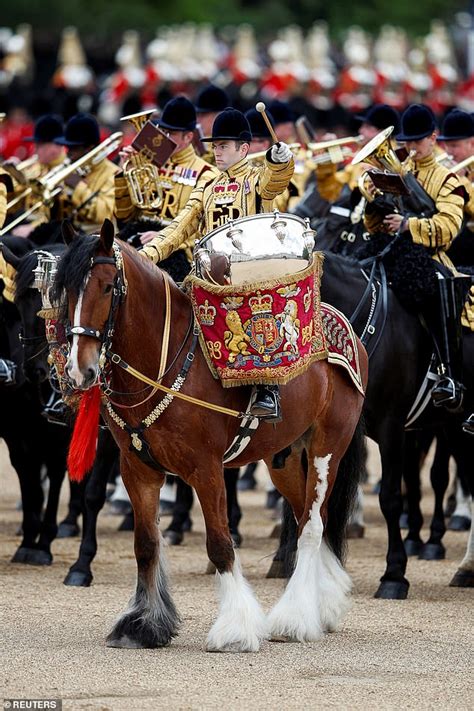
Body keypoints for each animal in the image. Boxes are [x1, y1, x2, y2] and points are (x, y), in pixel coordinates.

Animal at [53, 220, 368, 652]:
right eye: (66, 289)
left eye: (106, 286)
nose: (78, 370)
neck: (165, 363)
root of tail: (344, 326)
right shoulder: (138, 469)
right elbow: (145, 544)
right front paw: (142, 624)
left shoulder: (206, 468)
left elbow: (219, 544)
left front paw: (236, 629)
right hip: (285, 459)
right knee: (304, 516)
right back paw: (321, 606)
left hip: (327, 448)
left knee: (314, 526)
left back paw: (295, 618)